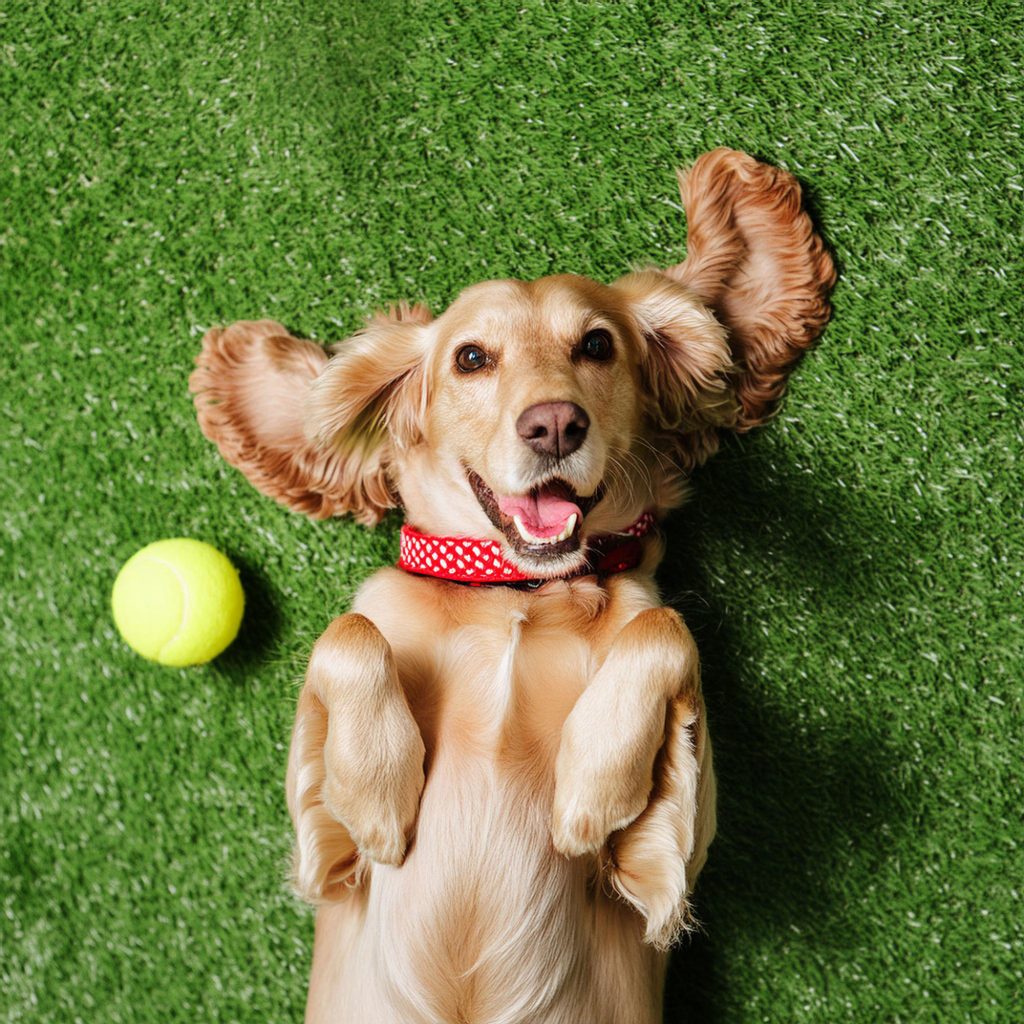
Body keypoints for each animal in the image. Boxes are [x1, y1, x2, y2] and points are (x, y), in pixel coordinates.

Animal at [190, 148, 831, 1019]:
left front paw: (590, 787)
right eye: (471, 357)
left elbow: (665, 630)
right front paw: (382, 798)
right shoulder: (327, 854)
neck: (513, 597)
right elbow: (347, 632)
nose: (555, 424)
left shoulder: (663, 862)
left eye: (597, 344)